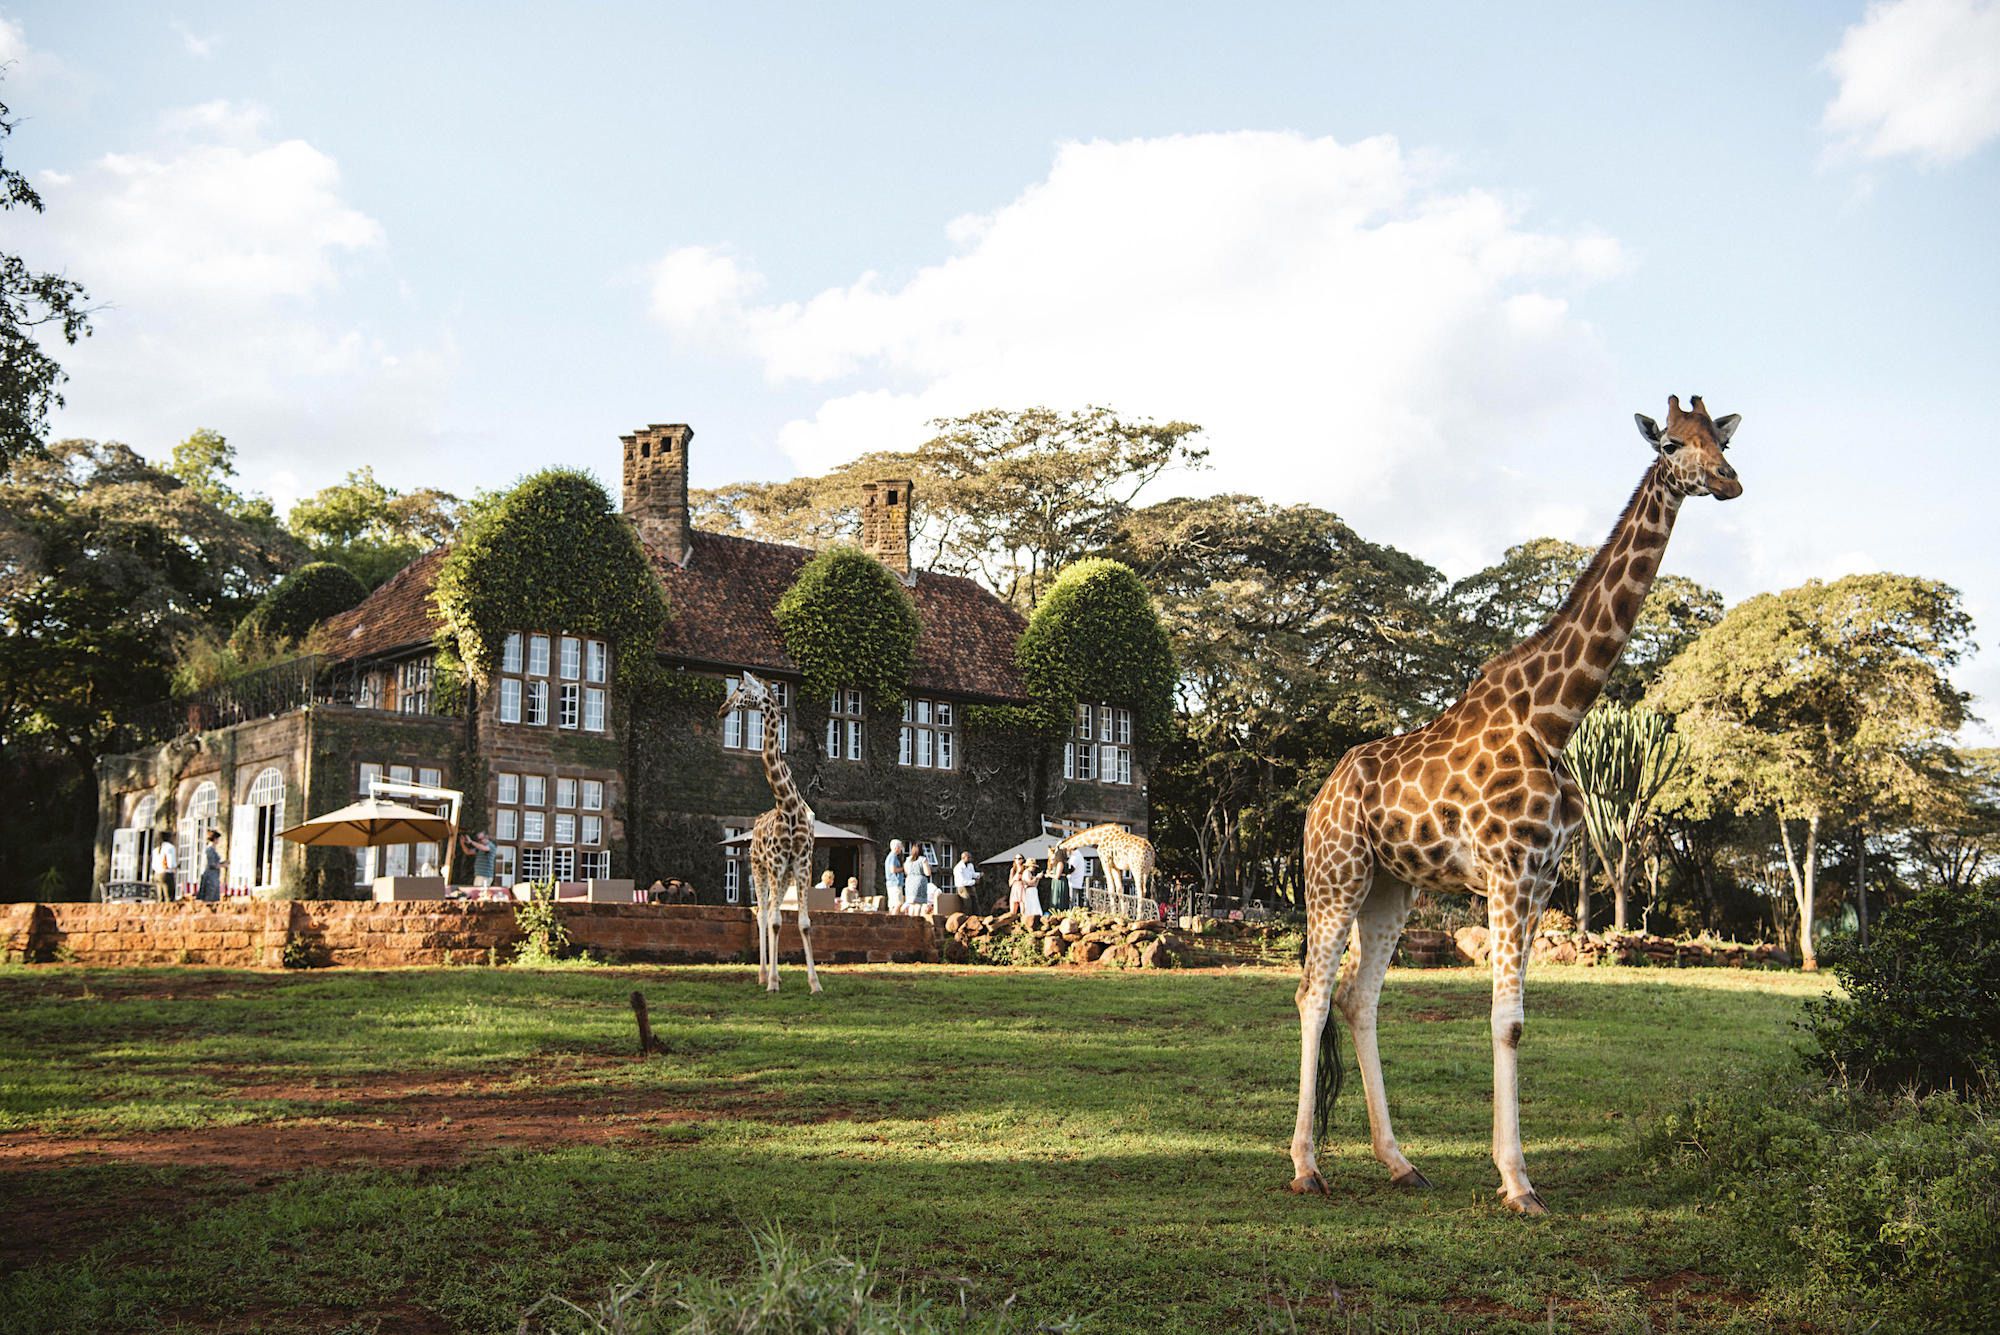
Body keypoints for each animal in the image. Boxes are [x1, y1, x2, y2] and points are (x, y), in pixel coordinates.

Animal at [716, 671, 824, 994]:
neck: (787, 804)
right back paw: (764, 975)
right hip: (759, 867)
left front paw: (815, 983)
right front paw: (774, 981)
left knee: (771, 912)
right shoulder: (775, 863)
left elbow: (804, 922)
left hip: (784, 875)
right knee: (763, 914)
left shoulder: (801, 864)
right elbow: (775, 921)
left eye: (740, 689)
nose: (722, 709)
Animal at [1287, 396, 1742, 1215]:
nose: (1729, 481)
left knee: (1359, 999)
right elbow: (1505, 1022)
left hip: (1393, 887)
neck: (1556, 716)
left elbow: (1518, 1022)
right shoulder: (1506, 872)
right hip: (1334, 874)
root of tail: (1320, 797)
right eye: (1670, 443)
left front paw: (1513, 1174)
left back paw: (1400, 1162)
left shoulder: (1542, 877)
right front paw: (1517, 1182)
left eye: (1718, 439)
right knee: (1312, 993)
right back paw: (1306, 1165)